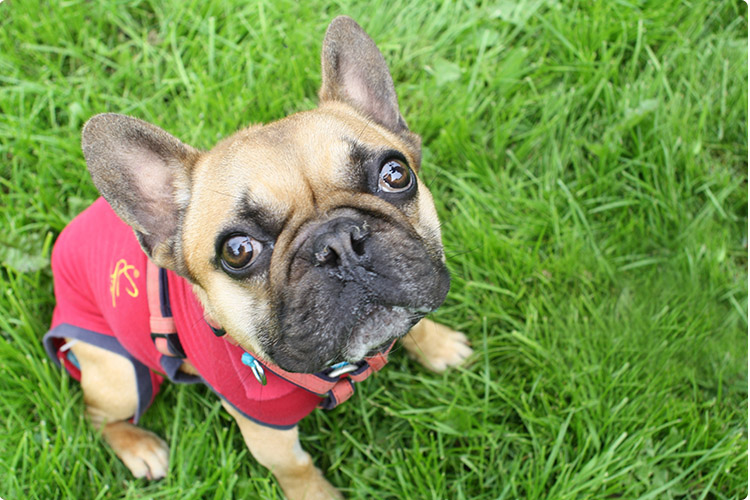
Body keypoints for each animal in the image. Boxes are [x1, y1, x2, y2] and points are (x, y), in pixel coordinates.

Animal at [42, 16, 470, 500]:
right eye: (238, 251)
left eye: (396, 175)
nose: (338, 243)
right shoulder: (267, 433)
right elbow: (296, 469)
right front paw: (316, 494)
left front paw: (436, 344)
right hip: (118, 378)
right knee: (97, 414)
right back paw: (139, 447)